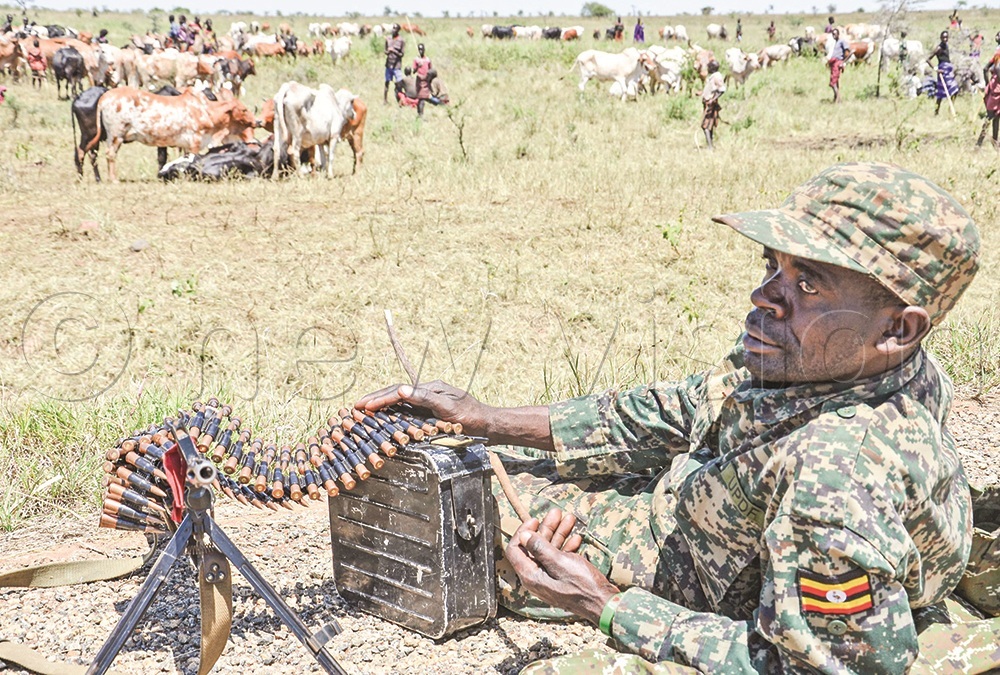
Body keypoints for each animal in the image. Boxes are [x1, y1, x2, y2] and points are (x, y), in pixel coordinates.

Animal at [86, 87, 256, 182]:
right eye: (243, 110)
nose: (257, 121)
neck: (207, 111)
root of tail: (105, 97)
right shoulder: (194, 143)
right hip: (116, 135)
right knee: (110, 155)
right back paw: (113, 179)